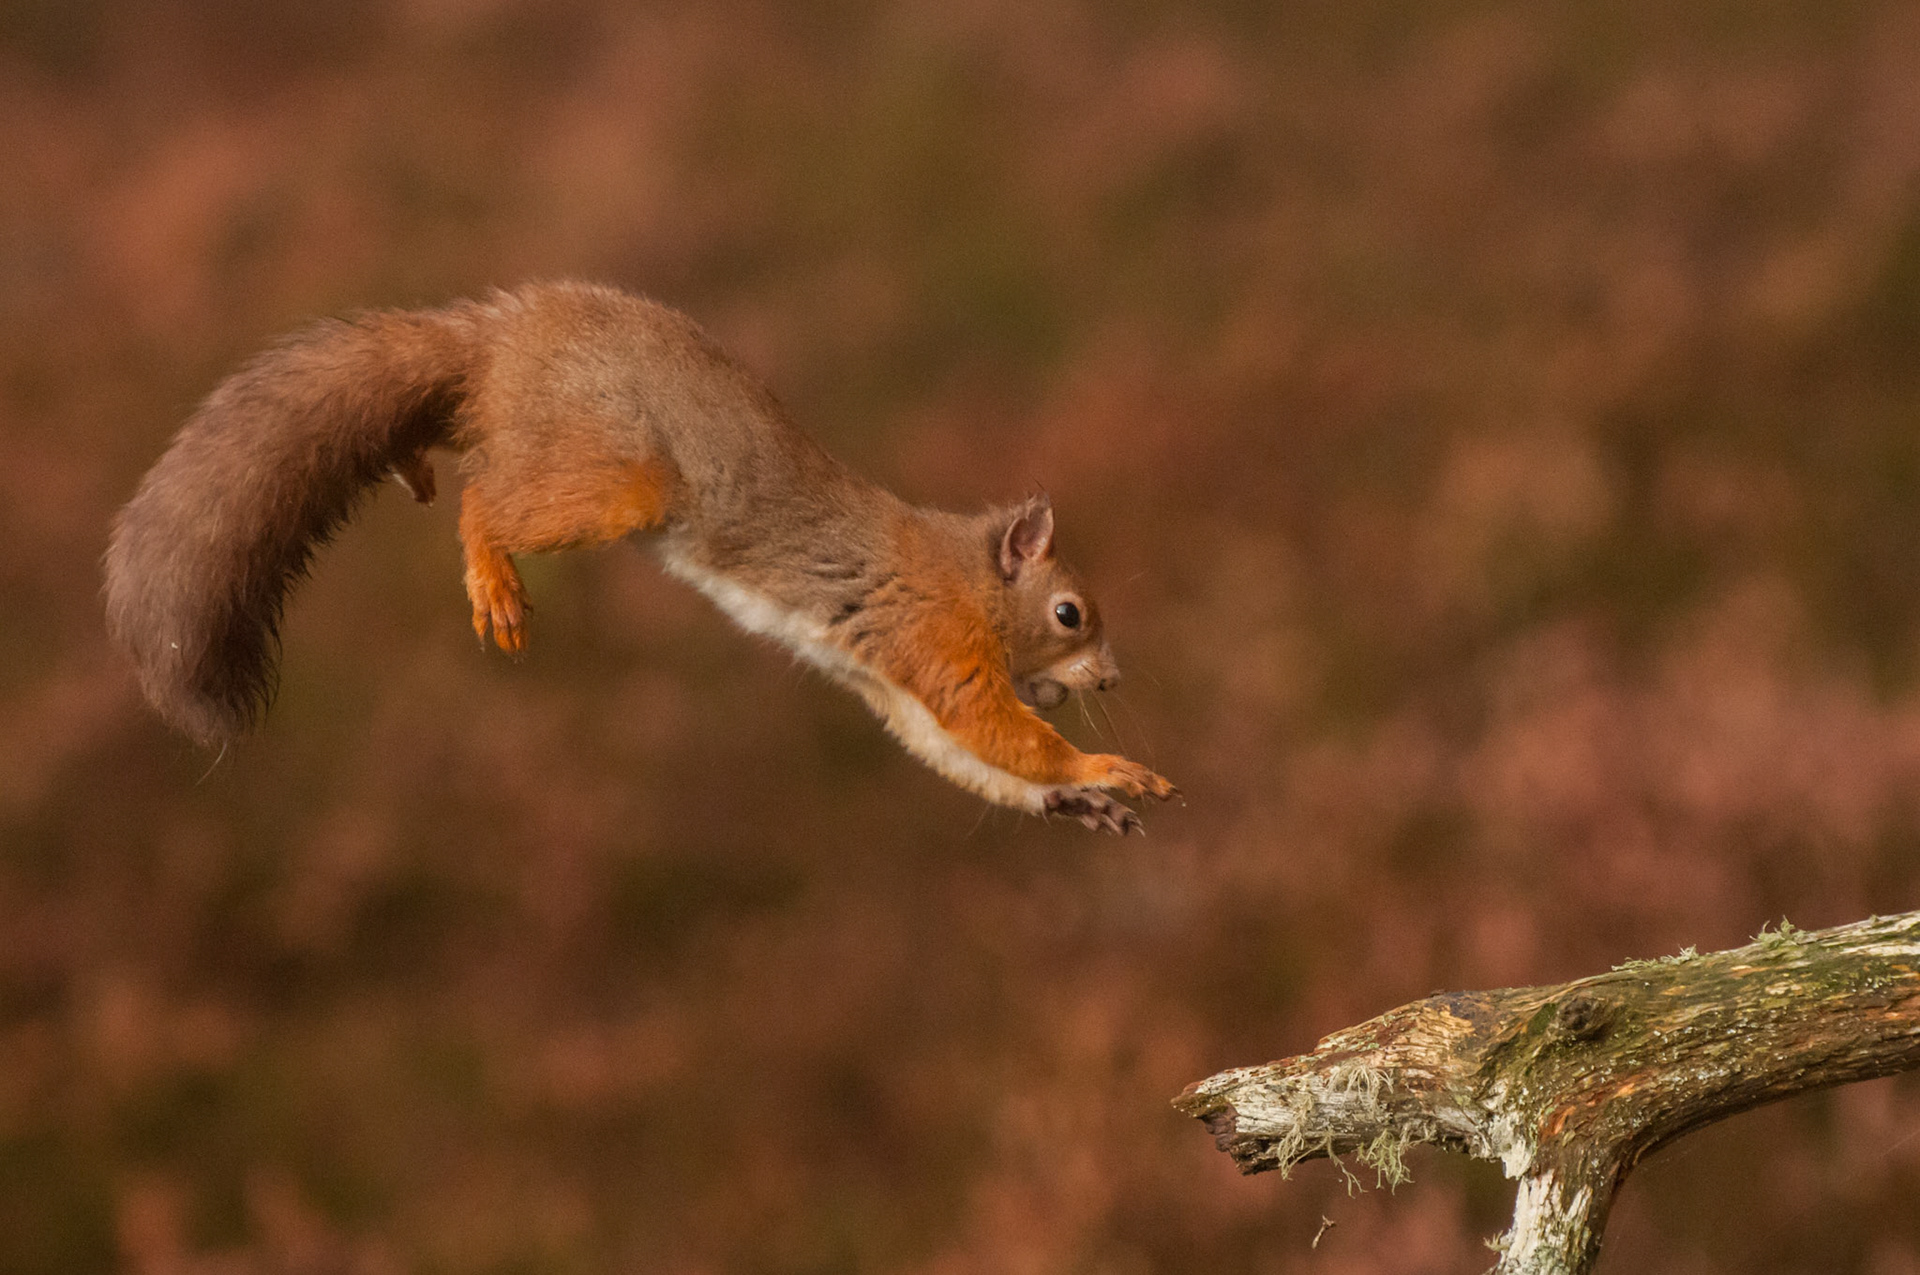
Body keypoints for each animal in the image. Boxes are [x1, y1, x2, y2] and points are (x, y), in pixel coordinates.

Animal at [104, 281, 1176, 833]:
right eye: (1071, 612)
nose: (1115, 677)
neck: (965, 573)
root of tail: (507, 333)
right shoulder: (935, 638)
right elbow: (995, 730)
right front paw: (1109, 767)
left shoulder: (892, 680)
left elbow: (958, 753)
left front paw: (1076, 796)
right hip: (615, 473)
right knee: (488, 496)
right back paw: (491, 573)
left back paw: (413, 464)